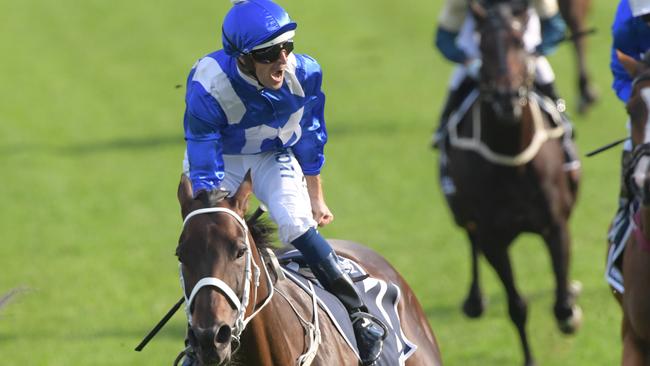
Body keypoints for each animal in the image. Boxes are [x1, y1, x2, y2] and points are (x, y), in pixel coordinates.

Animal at [440, 1, 584, 364]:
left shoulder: (555, 225)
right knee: (470, 235)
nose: (507, 97)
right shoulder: (493, 236)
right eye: (483, 46)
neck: (512, 160)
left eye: (519, 42)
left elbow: (561, 304)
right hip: (463, 211)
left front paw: (572, 311)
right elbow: (517, 306)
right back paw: (475, 300)